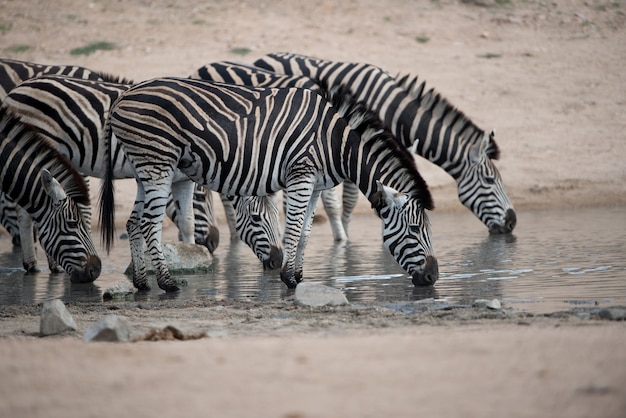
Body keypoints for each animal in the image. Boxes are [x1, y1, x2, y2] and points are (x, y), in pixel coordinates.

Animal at [100, 79, 436, 294]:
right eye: (415, 229)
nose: (434, 277)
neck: (335, 144)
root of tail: (123, 97)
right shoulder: (301, 176)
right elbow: (293, 229)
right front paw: (288, 279)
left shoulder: (315, 184)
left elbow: (305, 233)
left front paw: (298, 276)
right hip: (158, 163)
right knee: (149, 224)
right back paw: (167, 284)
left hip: (145, 168)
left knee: (132, 223)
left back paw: (142, 284)